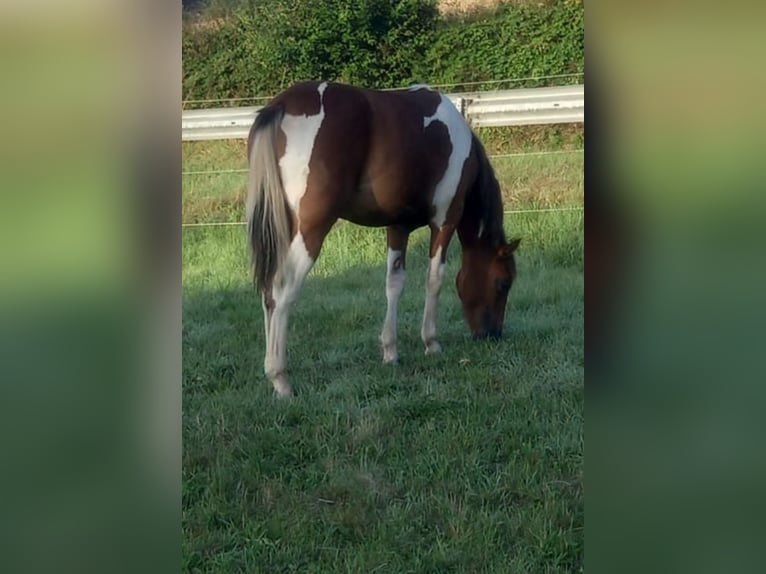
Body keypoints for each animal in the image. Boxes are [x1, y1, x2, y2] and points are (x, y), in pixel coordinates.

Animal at [246, 80, 520, 400]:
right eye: (504, 283)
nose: (492, 336)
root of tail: (281, 106)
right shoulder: (445, 220)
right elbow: (434, 279)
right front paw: (431, 343)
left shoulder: (398, 227)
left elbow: (394, 284)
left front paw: (390, 351)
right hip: (310, 230)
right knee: (282, 291)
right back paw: (280, 378)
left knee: (268, 291)